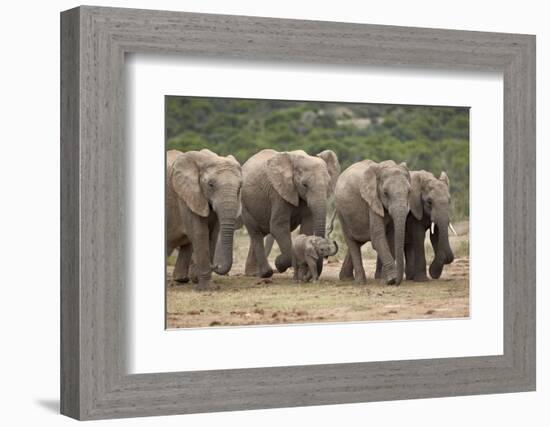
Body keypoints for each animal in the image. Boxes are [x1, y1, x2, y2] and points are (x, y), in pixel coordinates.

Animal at [167, 150, 243, 290]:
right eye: (210, 185)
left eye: (240, 186)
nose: (215, 265)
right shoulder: (186, 196)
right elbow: (200, 233)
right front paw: (208, 288)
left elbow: (212, 234)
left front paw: (200, 281)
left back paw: (181, 280)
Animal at [243, 150, 340, 278]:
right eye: (304, 185)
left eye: (329, 184)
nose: (326, 256)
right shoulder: (278, 193)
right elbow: (278, 227)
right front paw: (279, 263)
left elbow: (307, 226)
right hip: (245, 205)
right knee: (256, 233)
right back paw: (265, 273)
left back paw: (253, 273)